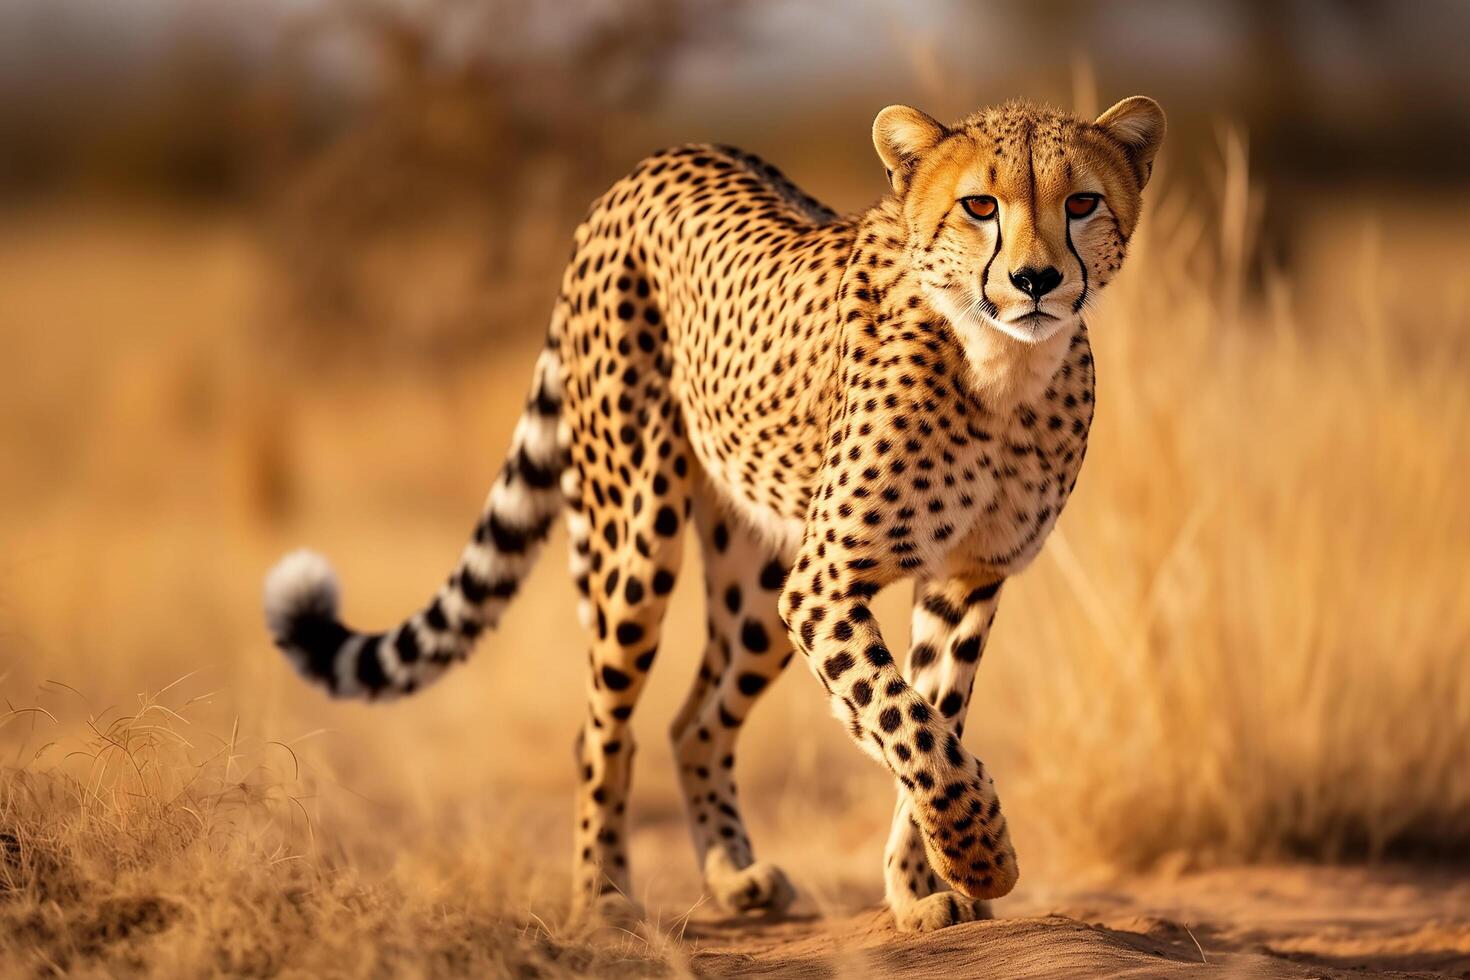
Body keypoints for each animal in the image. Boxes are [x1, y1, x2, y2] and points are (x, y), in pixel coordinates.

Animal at [261, 97, 1158, 934]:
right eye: (979, 206)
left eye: (1081, 203)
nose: (1036, 281)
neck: (1003, 368)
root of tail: (649, 164)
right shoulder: (828, 583)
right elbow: (907, 722)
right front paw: (981, 859)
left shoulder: (965, 579)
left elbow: (931, 720)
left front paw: (922, 886)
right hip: (637, 540)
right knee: (603, 727)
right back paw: (604, 896)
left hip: (760, 585)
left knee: (695, 721)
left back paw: (733, 877)